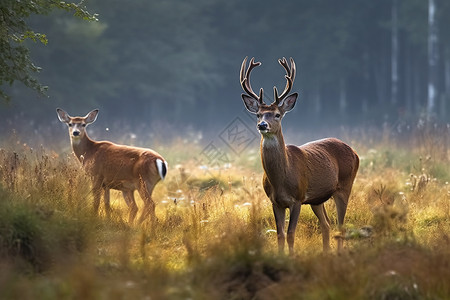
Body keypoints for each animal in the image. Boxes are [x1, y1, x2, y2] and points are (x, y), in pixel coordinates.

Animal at [241, 57, 360, 254]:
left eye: (277, 114)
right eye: (258, 115)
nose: (262, 125)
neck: (281, 179)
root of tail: (354, 151)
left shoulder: (297, 198)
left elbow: (290, 234)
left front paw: (291, 257)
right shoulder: (275, 201)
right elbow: (280, 234)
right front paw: (280, 257)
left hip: (345, 185)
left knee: (340, 225)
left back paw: (338, 253)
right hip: (317, 199)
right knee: (326, 224)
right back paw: (326, 252)